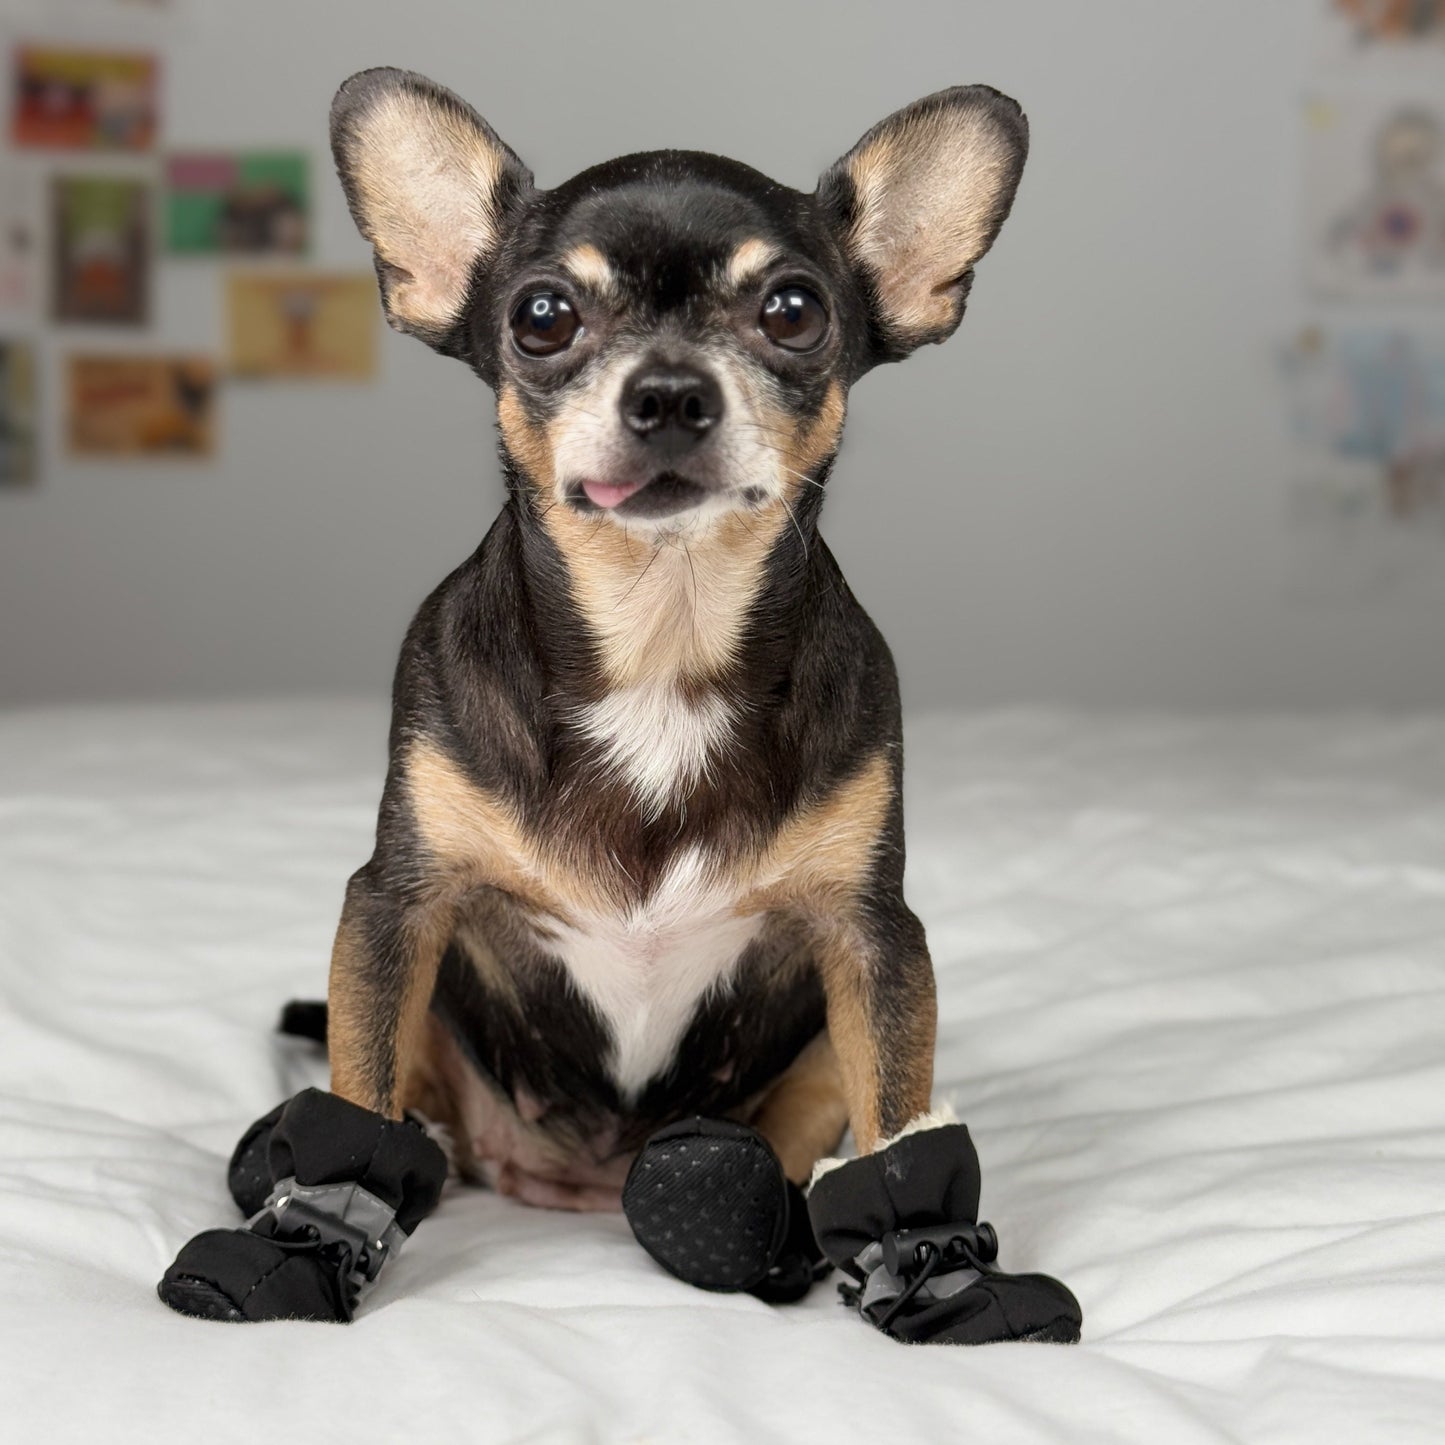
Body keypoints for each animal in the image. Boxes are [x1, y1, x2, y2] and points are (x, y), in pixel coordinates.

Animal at [161, 62, 1086, 1335]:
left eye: (791, 310)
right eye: (542, 317)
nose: (669, 392)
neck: (662, 639)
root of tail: (585, 1183)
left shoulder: (873, 942)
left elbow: (899, 1117)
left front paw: (944, 1276)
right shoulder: (395, 905)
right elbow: (356, 1084)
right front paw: (304, 1241)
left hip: (804, 1057)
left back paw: (740, 1218)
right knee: (387, 1095)